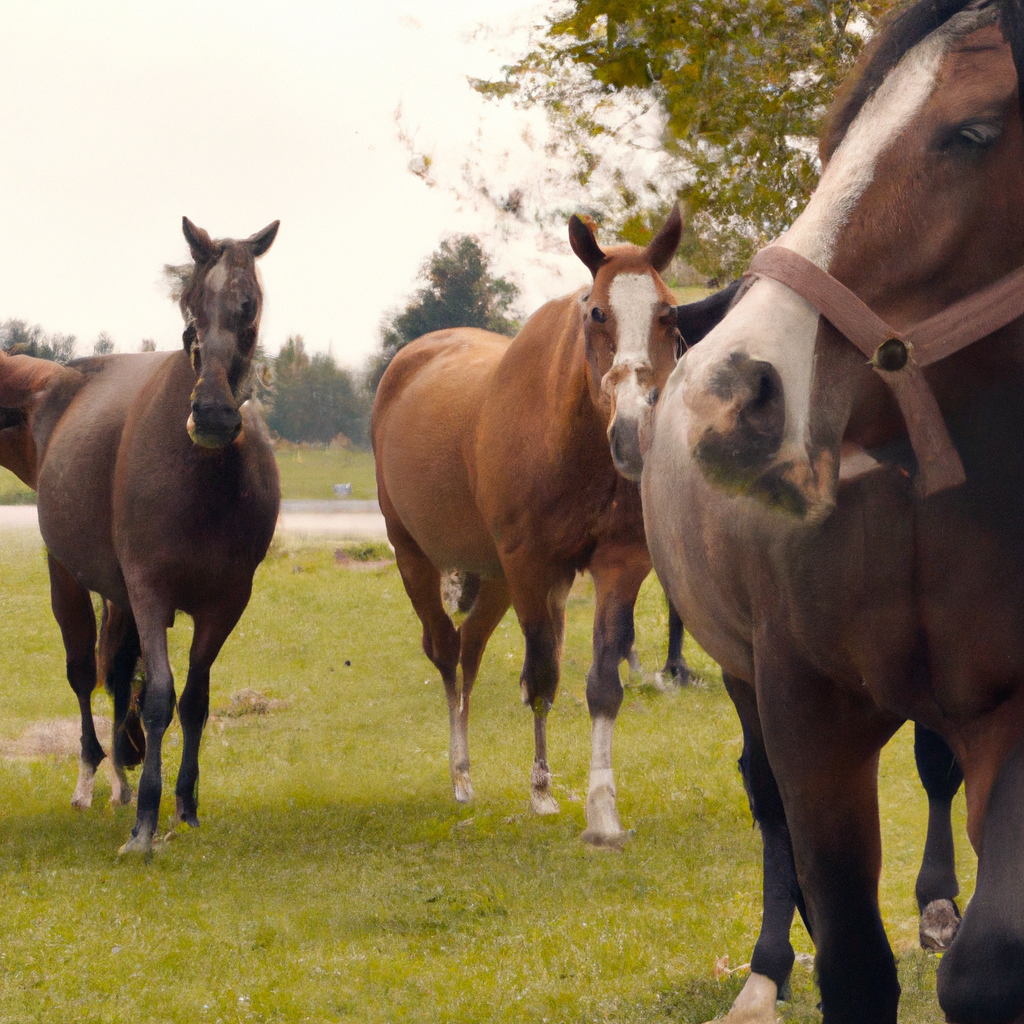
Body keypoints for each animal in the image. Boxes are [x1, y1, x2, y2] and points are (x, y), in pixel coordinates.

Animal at [0, 218, 280, 856]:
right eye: (189, 305)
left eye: (249, 305)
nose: (213, 415)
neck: (204, 478)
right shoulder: (150, 590)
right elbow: (156, 697)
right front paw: (146, 825)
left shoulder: (226, 602)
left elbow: (194, 700)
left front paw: (185, 806)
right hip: (67, 575)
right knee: (85, 671)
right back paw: (92, 777)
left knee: (114, 671)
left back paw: (121, 778)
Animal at [372, 207, 684, 847]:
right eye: (596, 312)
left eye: (668, 314)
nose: (632, 434)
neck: (567, 439)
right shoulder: (530, 565)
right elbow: (541, 677)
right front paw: (541, 791)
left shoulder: (619, 563)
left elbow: (601, 681)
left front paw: (602, 812)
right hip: (417, 558)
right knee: (446, 652)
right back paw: (460, 775)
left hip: (494, 578)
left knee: (468, 651)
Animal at [643, 4, 1024, 1019]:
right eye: (830, 143)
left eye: (976, 131)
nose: (731, 390)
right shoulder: (807, 709)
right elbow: (853, 960)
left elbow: (991, 958)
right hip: (743, 684)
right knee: (767, 806)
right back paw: (770, 965)